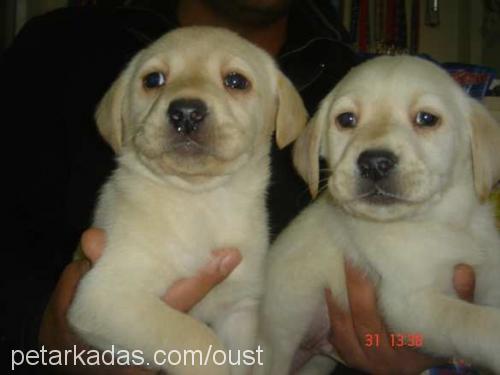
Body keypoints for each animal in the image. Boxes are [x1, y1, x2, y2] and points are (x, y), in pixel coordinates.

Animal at [68, 27, 306, 375]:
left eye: (236, 81)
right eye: (153, 80)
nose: (186, 112)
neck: (199, 201)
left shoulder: (239, 309)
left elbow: (239, 359)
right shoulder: (107, 294)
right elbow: (199, 340)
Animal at [258, 55, 500, 375]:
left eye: (427, 119)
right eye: (346, 120)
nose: (374, 163)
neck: (441, 222)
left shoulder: (489, 281)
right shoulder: (411, 302)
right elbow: (472, 320)